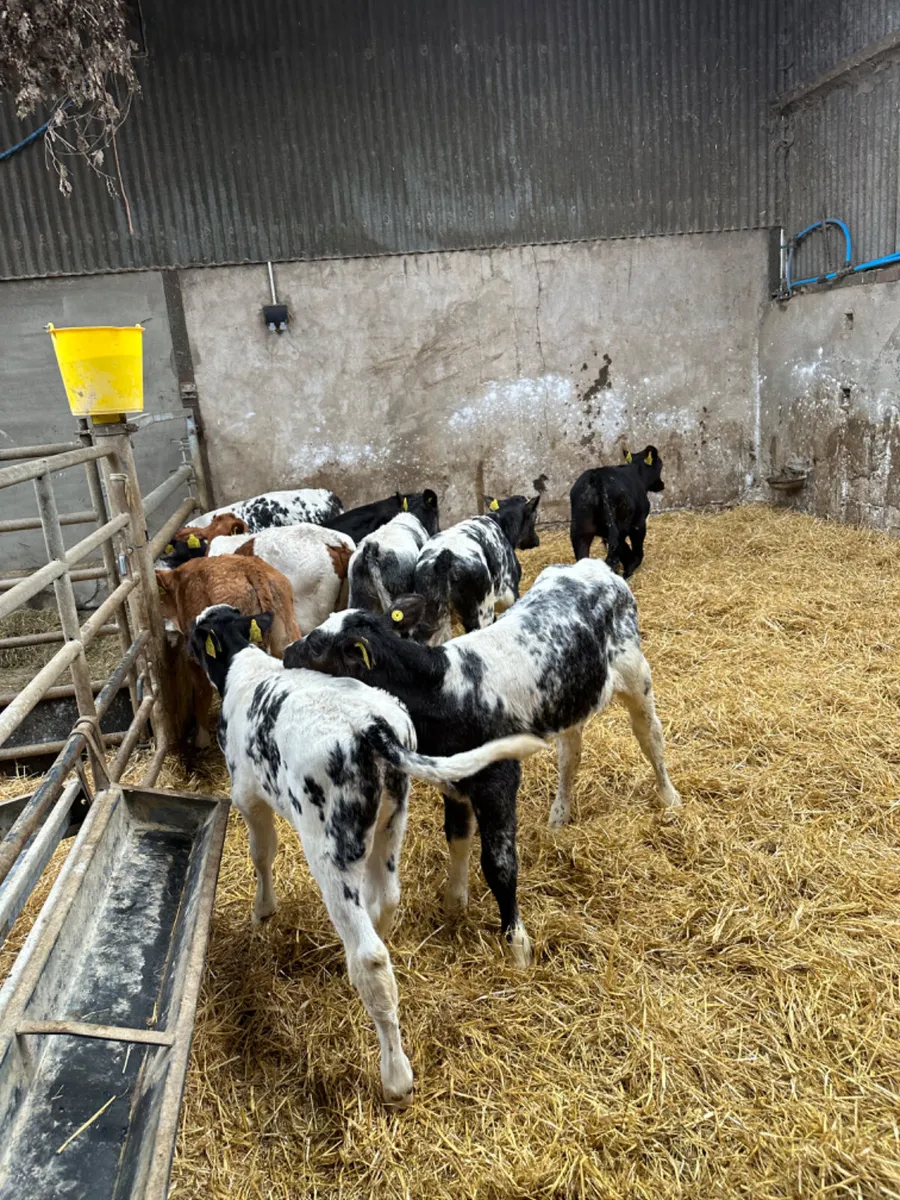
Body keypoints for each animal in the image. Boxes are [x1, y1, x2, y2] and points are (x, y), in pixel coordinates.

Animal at [188, 603, 547, 1104]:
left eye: (196, 636)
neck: (247, 668)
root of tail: (372, 728)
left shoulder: (247, 795)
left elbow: (263, 854)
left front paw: (263, 912)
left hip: (331, 849)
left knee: (371, 956)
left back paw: (395, 1076)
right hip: (390, 823)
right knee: (386, 904)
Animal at [285, 556, 680, 968]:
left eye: (317, 644)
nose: (285, 651)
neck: (446, 689)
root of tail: (594, 565)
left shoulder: (497, 781)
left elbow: (499, 865)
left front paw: (517, 945)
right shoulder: (455, 782)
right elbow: (457, 837)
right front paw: (454, 904)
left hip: (637, 677)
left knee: (651, 737)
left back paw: (669, 798)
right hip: (570, 697)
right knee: (571, 753)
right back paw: (560, 814)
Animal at [413, 494, 540, 643]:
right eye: (534, 517)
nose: (537, 541)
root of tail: (445, 555)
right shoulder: (510, 592)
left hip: (430, 615)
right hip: (482, 611)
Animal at [569, 446, 665, 575]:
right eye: (660, 463)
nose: (662, 484)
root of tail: (596, 476)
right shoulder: (638, 523)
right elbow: (635, 549)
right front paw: (629, 568)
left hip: (580, 530)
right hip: (621, 526)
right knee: (614, 557)